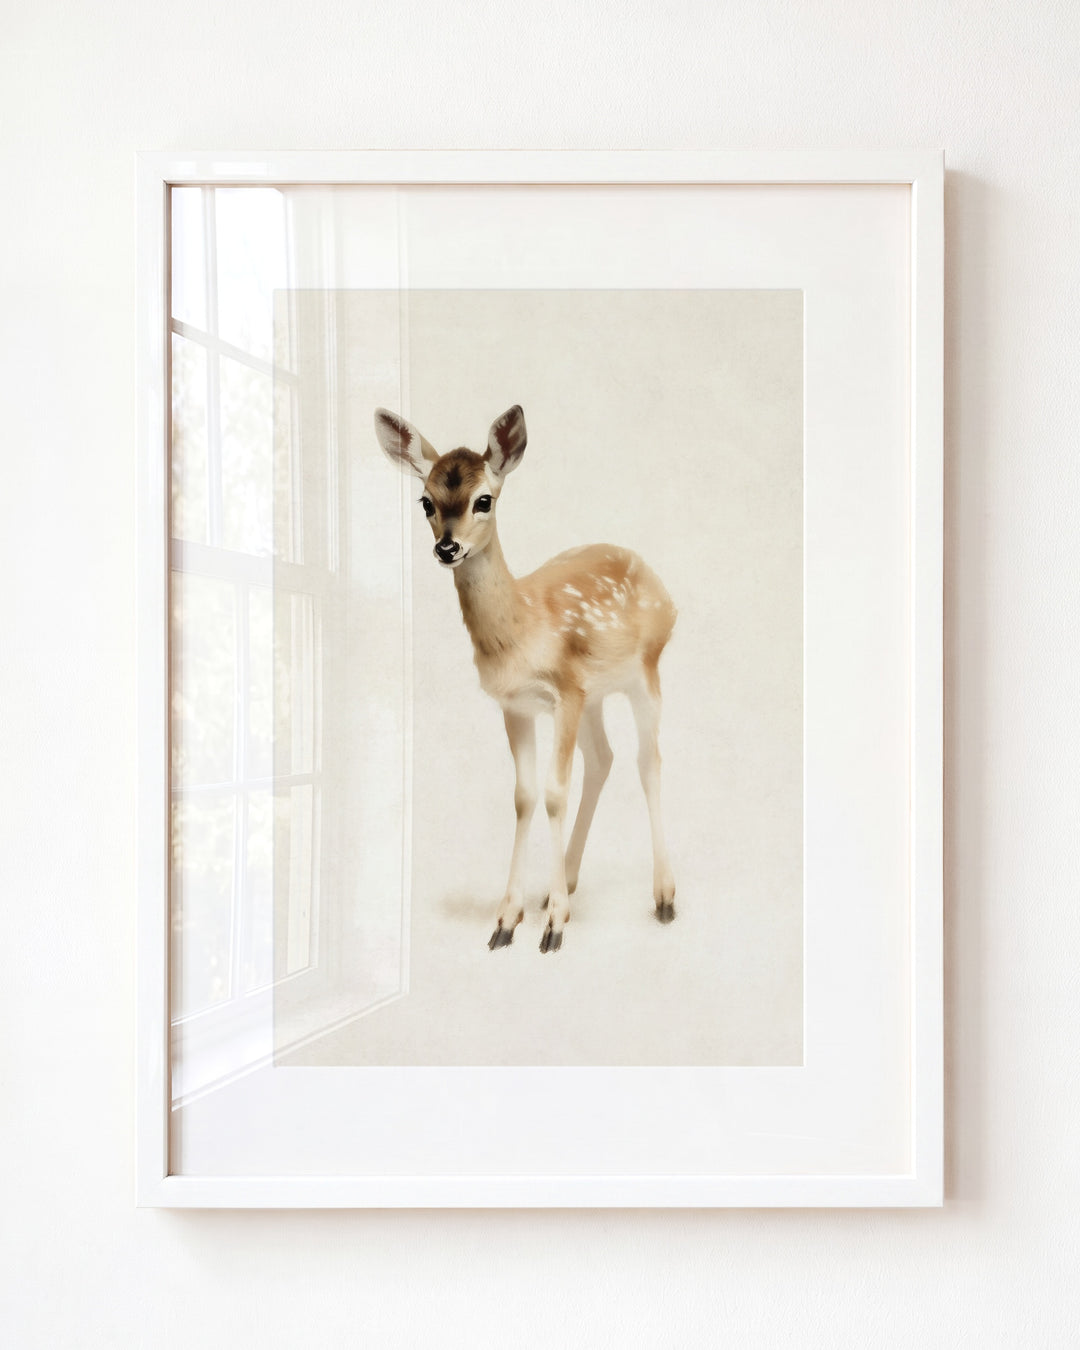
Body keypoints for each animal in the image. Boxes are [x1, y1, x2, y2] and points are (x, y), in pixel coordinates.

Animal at [375, 404, 677, 954]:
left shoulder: (565, 691)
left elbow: (556, 793)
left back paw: (663, 897)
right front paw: (508, 919)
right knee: (603, 758)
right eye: (426, 500)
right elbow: (525, 797)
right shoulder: (517, 704)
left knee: (648, 760)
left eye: (484, 499)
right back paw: (566, 883)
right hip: (596, 695)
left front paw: (553, 928)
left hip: (644, 670)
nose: (447, 548)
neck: (522, 631)